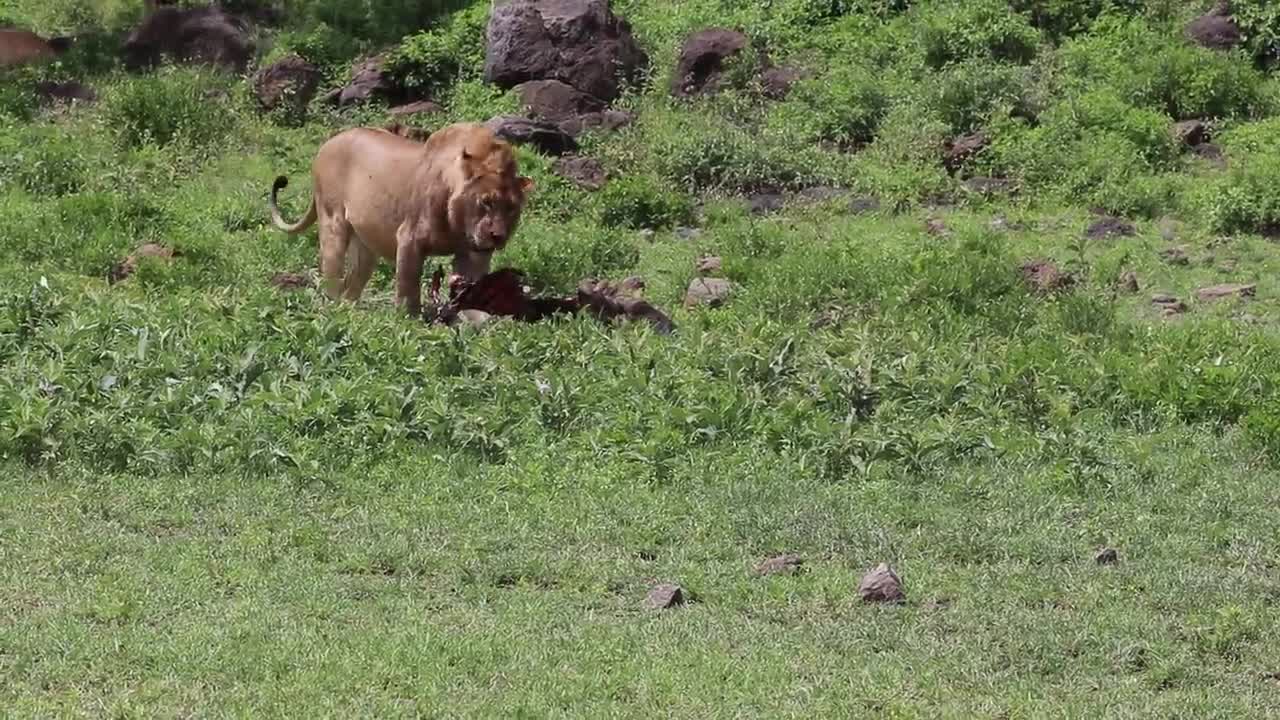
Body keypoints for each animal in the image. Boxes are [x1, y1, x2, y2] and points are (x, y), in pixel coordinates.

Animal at [267, 120, 532, 313]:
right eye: (486, 202)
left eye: (511, 208)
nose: (498, 236)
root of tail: (328, 143)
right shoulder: (409, 238)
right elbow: (408, 286)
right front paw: (410, 323)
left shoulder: (474, 253)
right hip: (333, 222)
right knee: (331, 273)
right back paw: (332, 309)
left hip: (365, 245)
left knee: (353, 284)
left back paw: (350, 312)